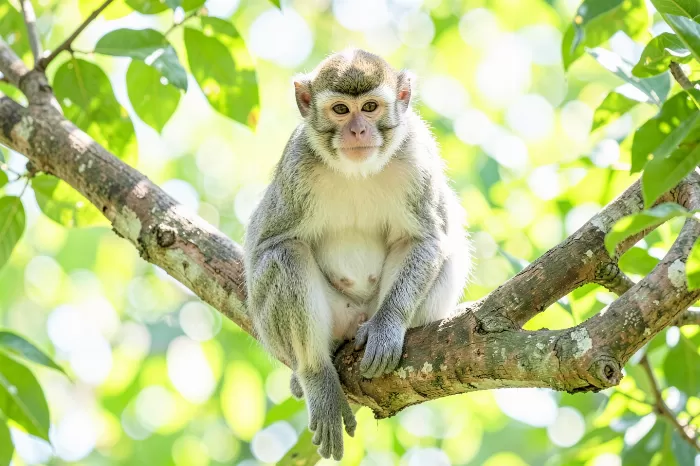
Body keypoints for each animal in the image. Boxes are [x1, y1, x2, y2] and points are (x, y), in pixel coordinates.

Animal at [244, 49, 471, 460]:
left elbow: (427, 238)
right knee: (285, 255)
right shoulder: (296, 165)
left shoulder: (418, 155)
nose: (357, 130)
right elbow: (266, 245)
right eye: (340, 109)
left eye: (369, 107)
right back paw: (315, 376)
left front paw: (387, 327)